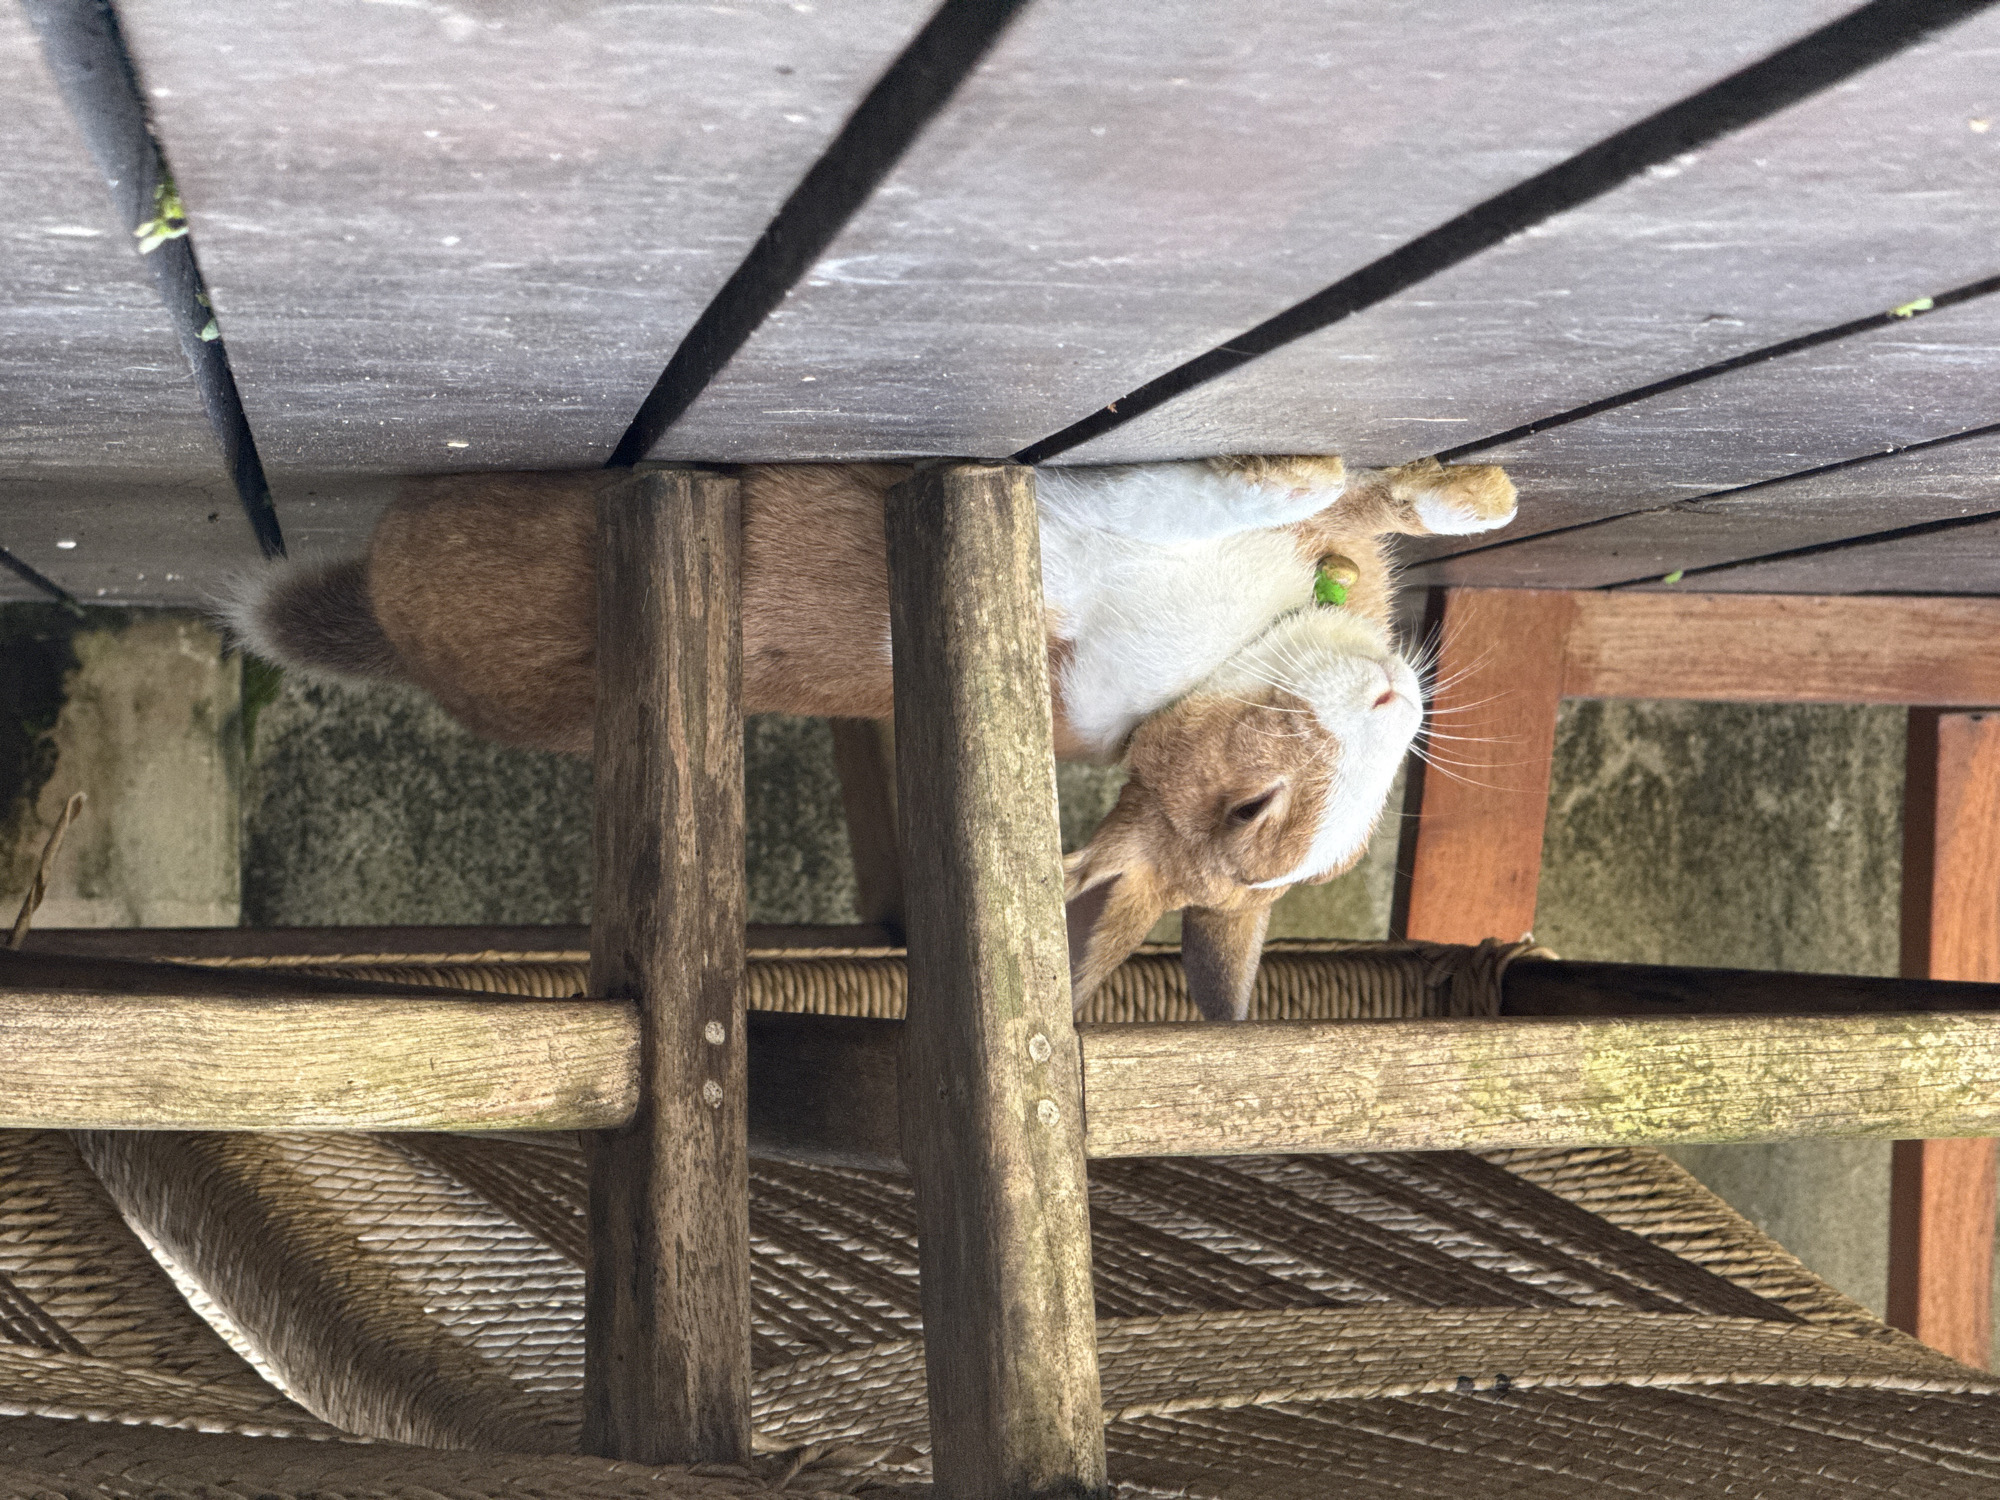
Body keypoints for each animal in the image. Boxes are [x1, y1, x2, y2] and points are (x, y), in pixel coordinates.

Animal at [227, 454, 1516, 1019]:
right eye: (1253, 809)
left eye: (1333, 852)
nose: (1395, 701)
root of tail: (397, 626)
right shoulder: (1109, 526)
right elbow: (1275, 492)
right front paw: (1416, 479)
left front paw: (1435, 485)